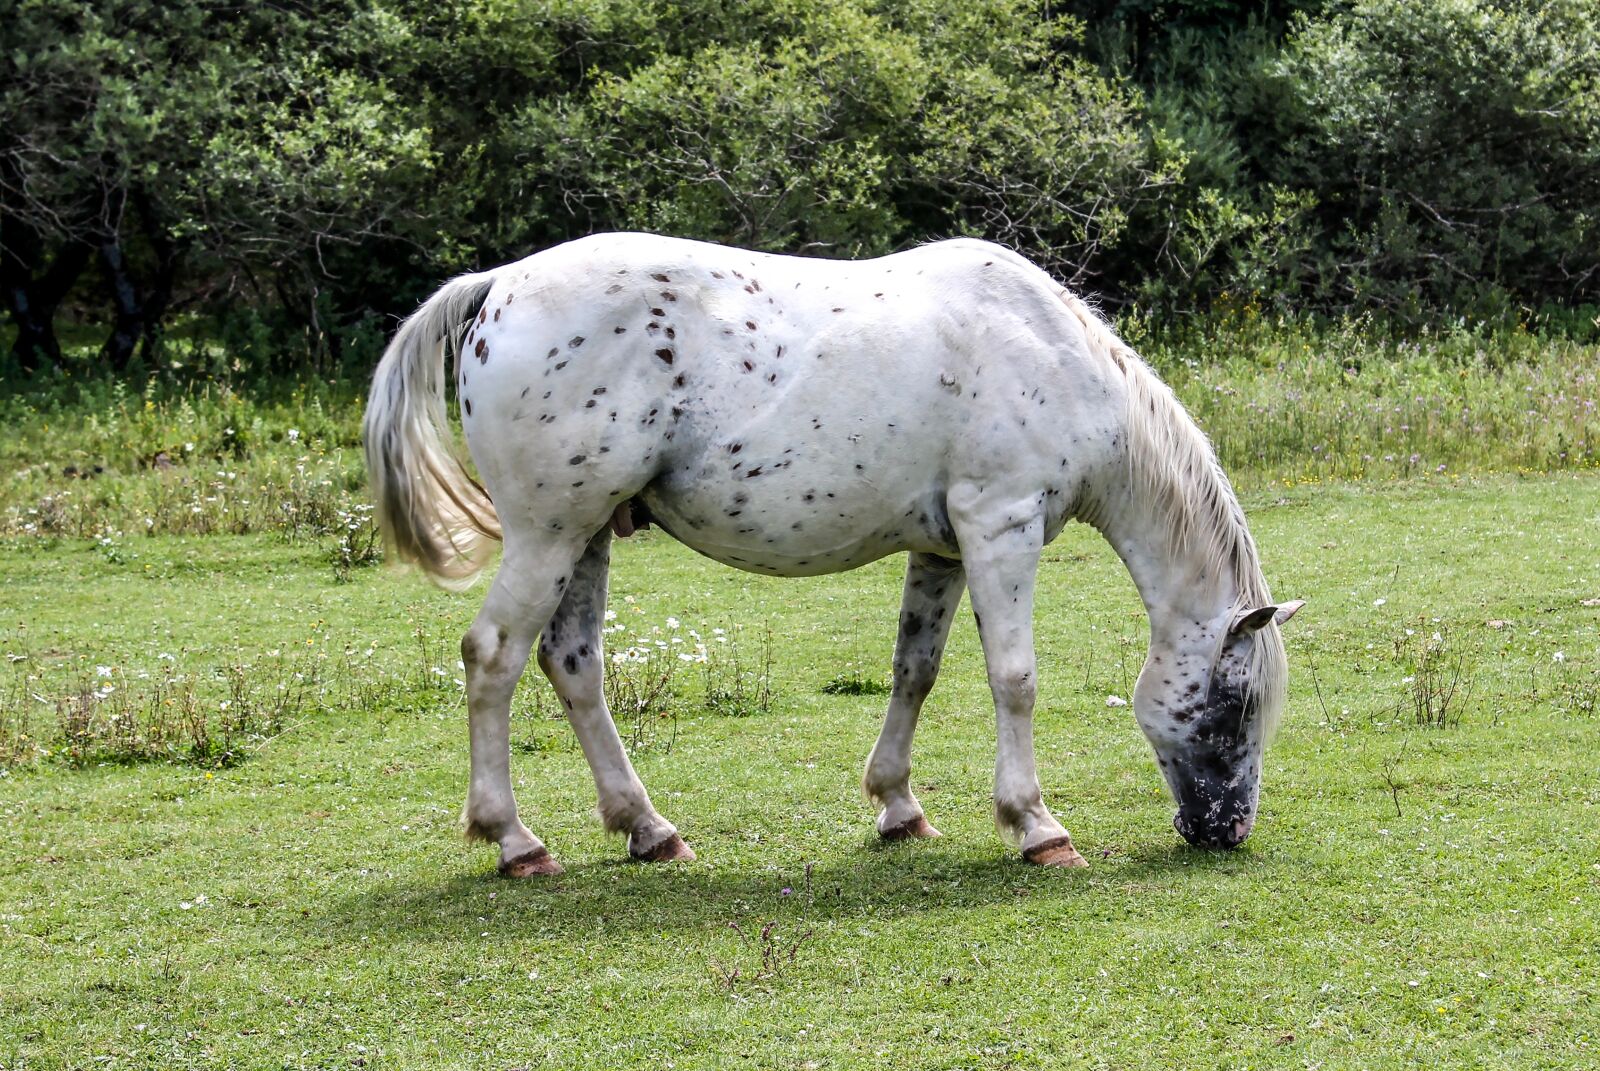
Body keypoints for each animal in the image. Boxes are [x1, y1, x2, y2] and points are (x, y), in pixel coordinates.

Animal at [363, 232, 1303, 877]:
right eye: (1232, 705)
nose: (1227, 831)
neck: (1052, 353)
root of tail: (497, 286)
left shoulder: (945, 548)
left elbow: (915, 671)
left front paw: (898, 806)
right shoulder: (1001, 526)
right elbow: (1014, 679)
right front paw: (1036, 826)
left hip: (587, 536)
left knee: (573, 665)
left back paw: (648, 828)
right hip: (547, 535)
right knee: (492, 657)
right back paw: (514, 839)